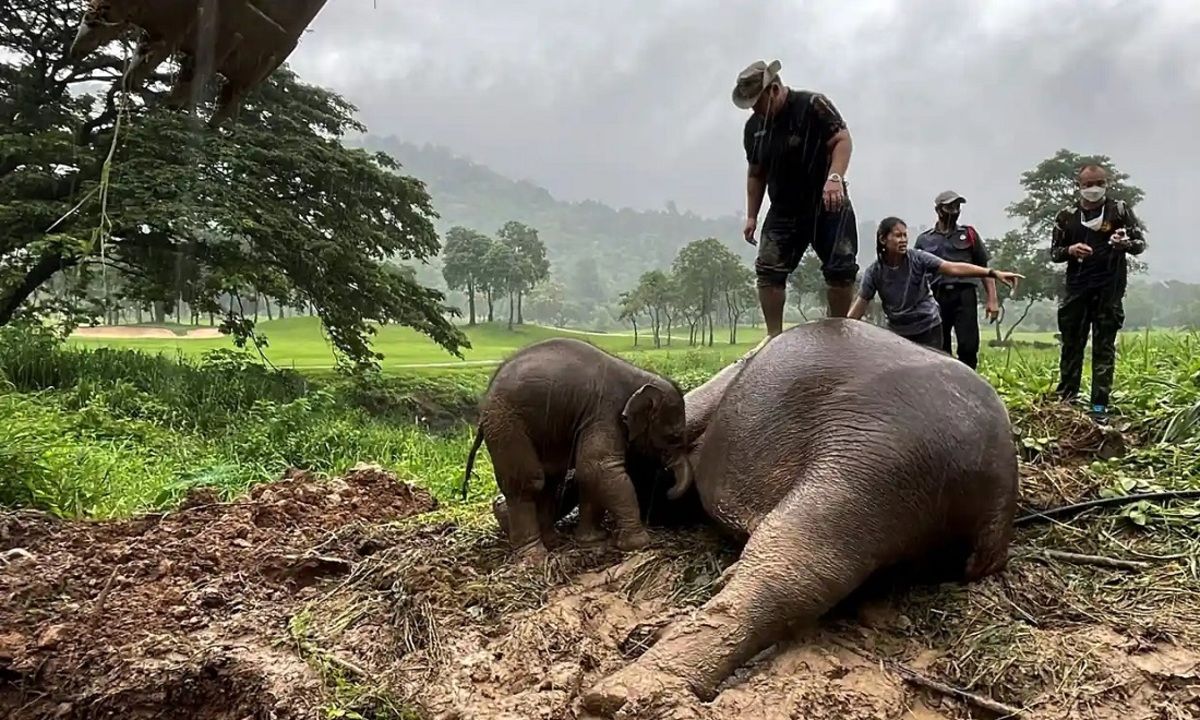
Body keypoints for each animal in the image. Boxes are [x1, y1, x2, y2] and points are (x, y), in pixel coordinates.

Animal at [460, 338, 691, 561]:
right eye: (674, 436)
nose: (669, 491)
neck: (639, 376)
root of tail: (483, 405)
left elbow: (587, 473)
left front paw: (593, 541)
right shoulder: (605, 412)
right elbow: (597, 467)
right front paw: (639, 543)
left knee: (550, 479)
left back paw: (552, 542)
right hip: (506, 422)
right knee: (529, 482)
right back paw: (534, 556)